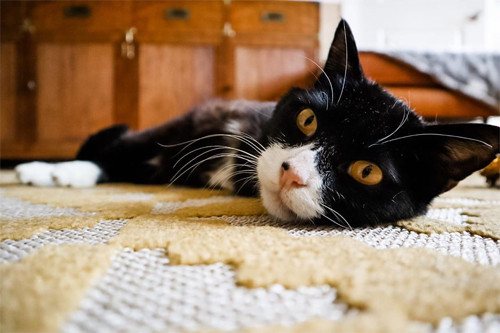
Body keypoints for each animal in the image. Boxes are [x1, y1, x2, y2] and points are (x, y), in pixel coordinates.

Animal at [14, 20, 500, 227]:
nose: (292, 172)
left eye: (367, 171)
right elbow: (132, 145)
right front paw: (50, 170)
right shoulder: (197, 121)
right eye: (307, 118)